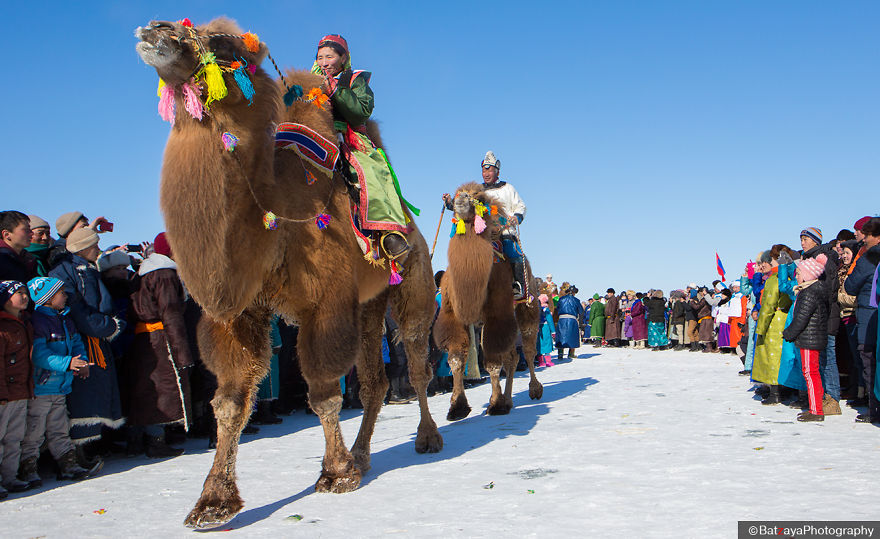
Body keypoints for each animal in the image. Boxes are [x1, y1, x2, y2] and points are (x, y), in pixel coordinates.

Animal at [135, 18, 442, 529]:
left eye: (224, 45)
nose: (155, 29)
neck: (275, 214)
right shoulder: (240, 313)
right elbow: (230, 401)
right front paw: (212, 502)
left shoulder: (325, 303)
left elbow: (323, 391)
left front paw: (335, 474)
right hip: (370, 305)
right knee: (375, 382)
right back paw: (363, 455)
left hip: (412, 290)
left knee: (418, 365)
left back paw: (427, 437)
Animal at [433, 183, 543, 420]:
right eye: (455, 194)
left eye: (478, 197)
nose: (460, 199)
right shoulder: (453, 315)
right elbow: (456, 359)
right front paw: (457, 407)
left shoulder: (497, 314)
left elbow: (493, 362)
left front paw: (496, 404)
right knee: (512, 357)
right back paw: (509, 399)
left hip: (527, 306)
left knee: (528, 349)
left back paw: (534, 390)